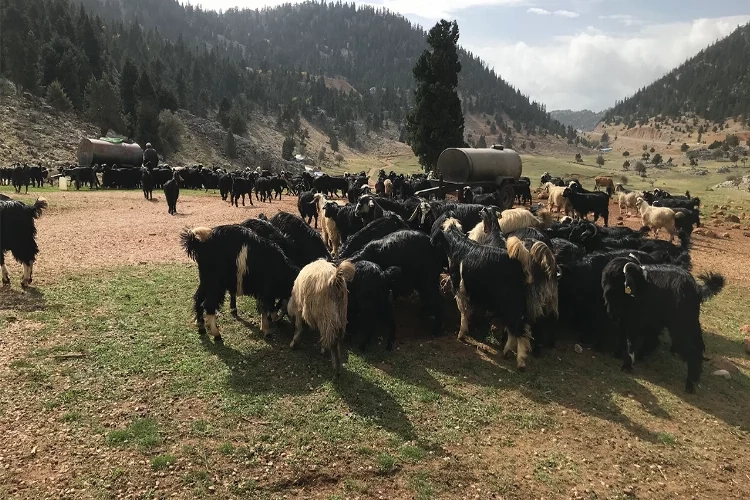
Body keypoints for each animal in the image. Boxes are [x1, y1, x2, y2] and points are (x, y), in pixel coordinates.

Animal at [604, 258, 724, 394]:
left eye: (620, 280)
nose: (609, 308)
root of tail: (696, 289)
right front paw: (619, 355)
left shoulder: (634, 320)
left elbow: (631, 341)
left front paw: (626, 365)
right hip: (692, 324)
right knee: (698, 348)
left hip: (681, 327)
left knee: (692, 351)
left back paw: (689, 384)